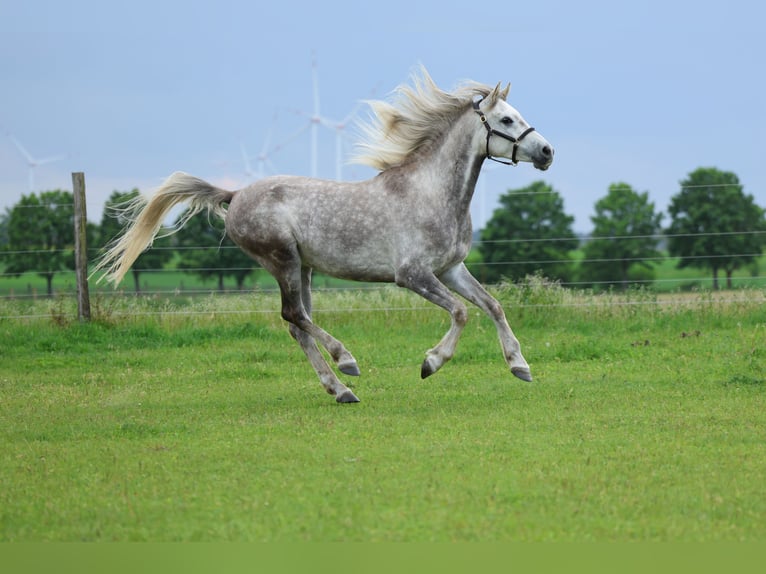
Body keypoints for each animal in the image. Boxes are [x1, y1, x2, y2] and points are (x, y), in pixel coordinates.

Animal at [93, 67, 554, 403]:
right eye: (507, 119)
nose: (548, 152)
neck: (430, 192)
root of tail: (235, 194)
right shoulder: (413, 275)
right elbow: (460, 312)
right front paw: (431, 363)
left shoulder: (451, 269)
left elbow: (493, 306)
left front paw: (520, 366)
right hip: (283, 261)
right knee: (294, 316)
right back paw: (347, 362)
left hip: (304, 269)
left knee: (299, 324)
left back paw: (341, 390)